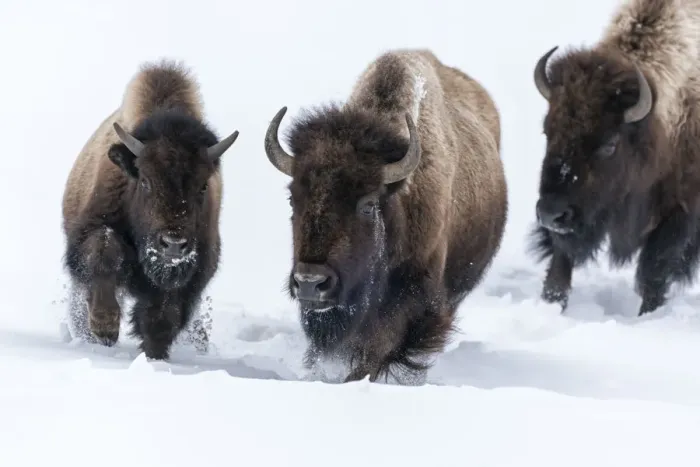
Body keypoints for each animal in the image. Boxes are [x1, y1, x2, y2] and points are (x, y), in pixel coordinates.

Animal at [62, 60, 238, 359]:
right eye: (144, 181)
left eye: (203, 186)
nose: (173, 244)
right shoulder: (90, 231)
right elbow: (105, 249)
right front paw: (105, 329)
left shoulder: (194, 270)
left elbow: (164, 313)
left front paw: (155, 356)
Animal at [531, 0, 700, 316]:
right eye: (547, 130)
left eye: (609, 144)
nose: (550, 213)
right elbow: (561, 261)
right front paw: (552, 303)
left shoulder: (679, 214)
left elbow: (654, 272)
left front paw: (647, 315)